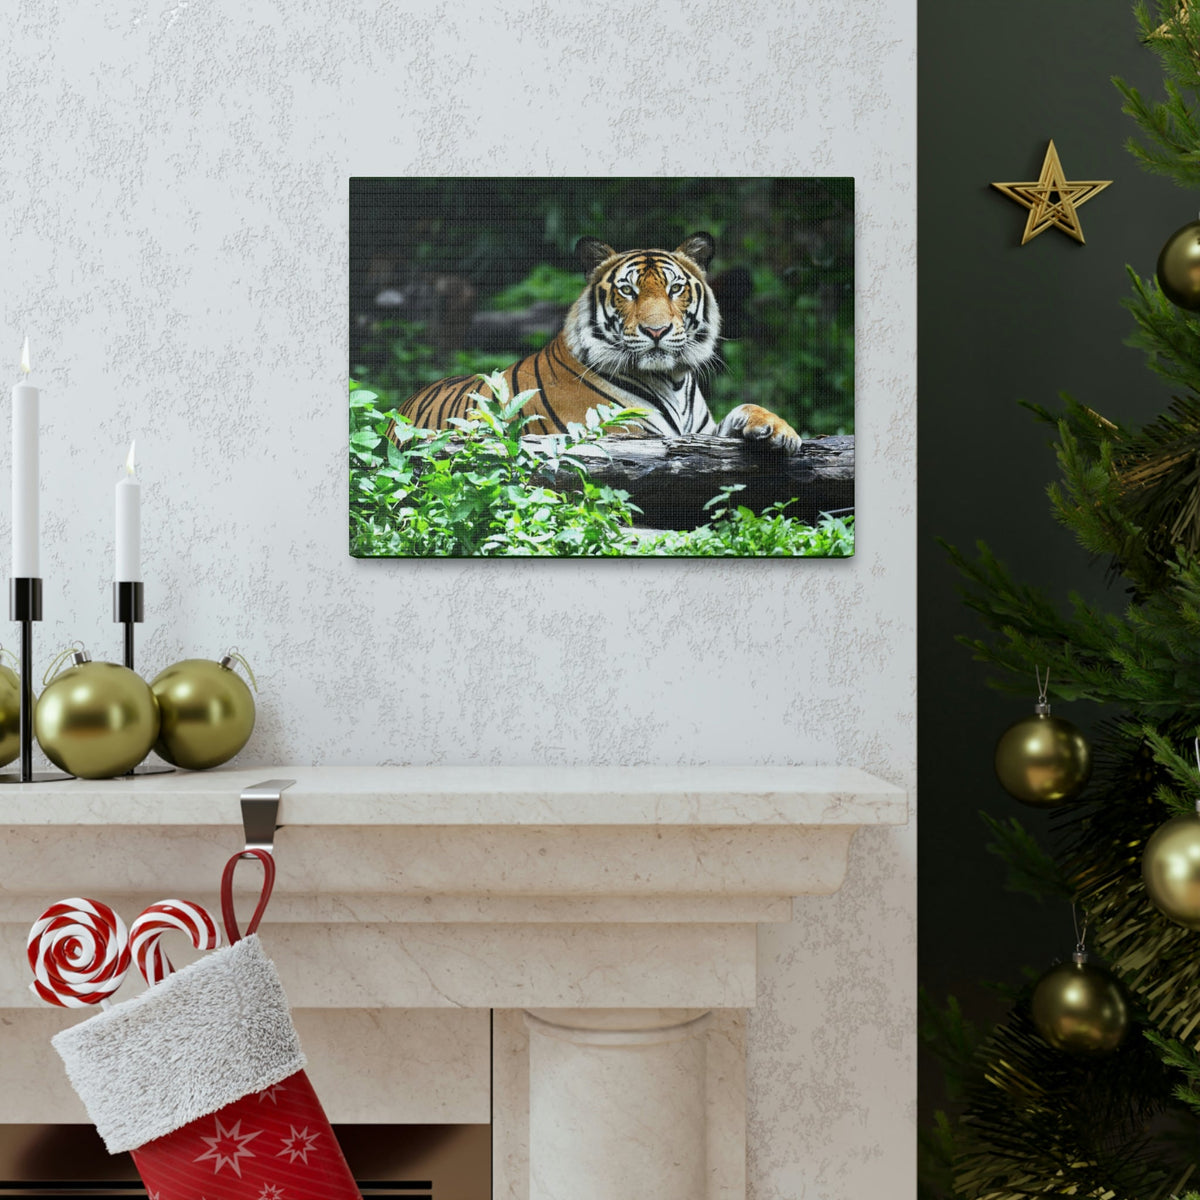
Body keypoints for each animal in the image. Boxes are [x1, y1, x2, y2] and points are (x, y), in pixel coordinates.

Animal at [391, 232, 802, 452]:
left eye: (674, 289)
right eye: (627, 290)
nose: (656, 331)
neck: (672, 380)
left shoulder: (700, 433)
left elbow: (745, 408)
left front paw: (780, 431)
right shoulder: (622, 435)